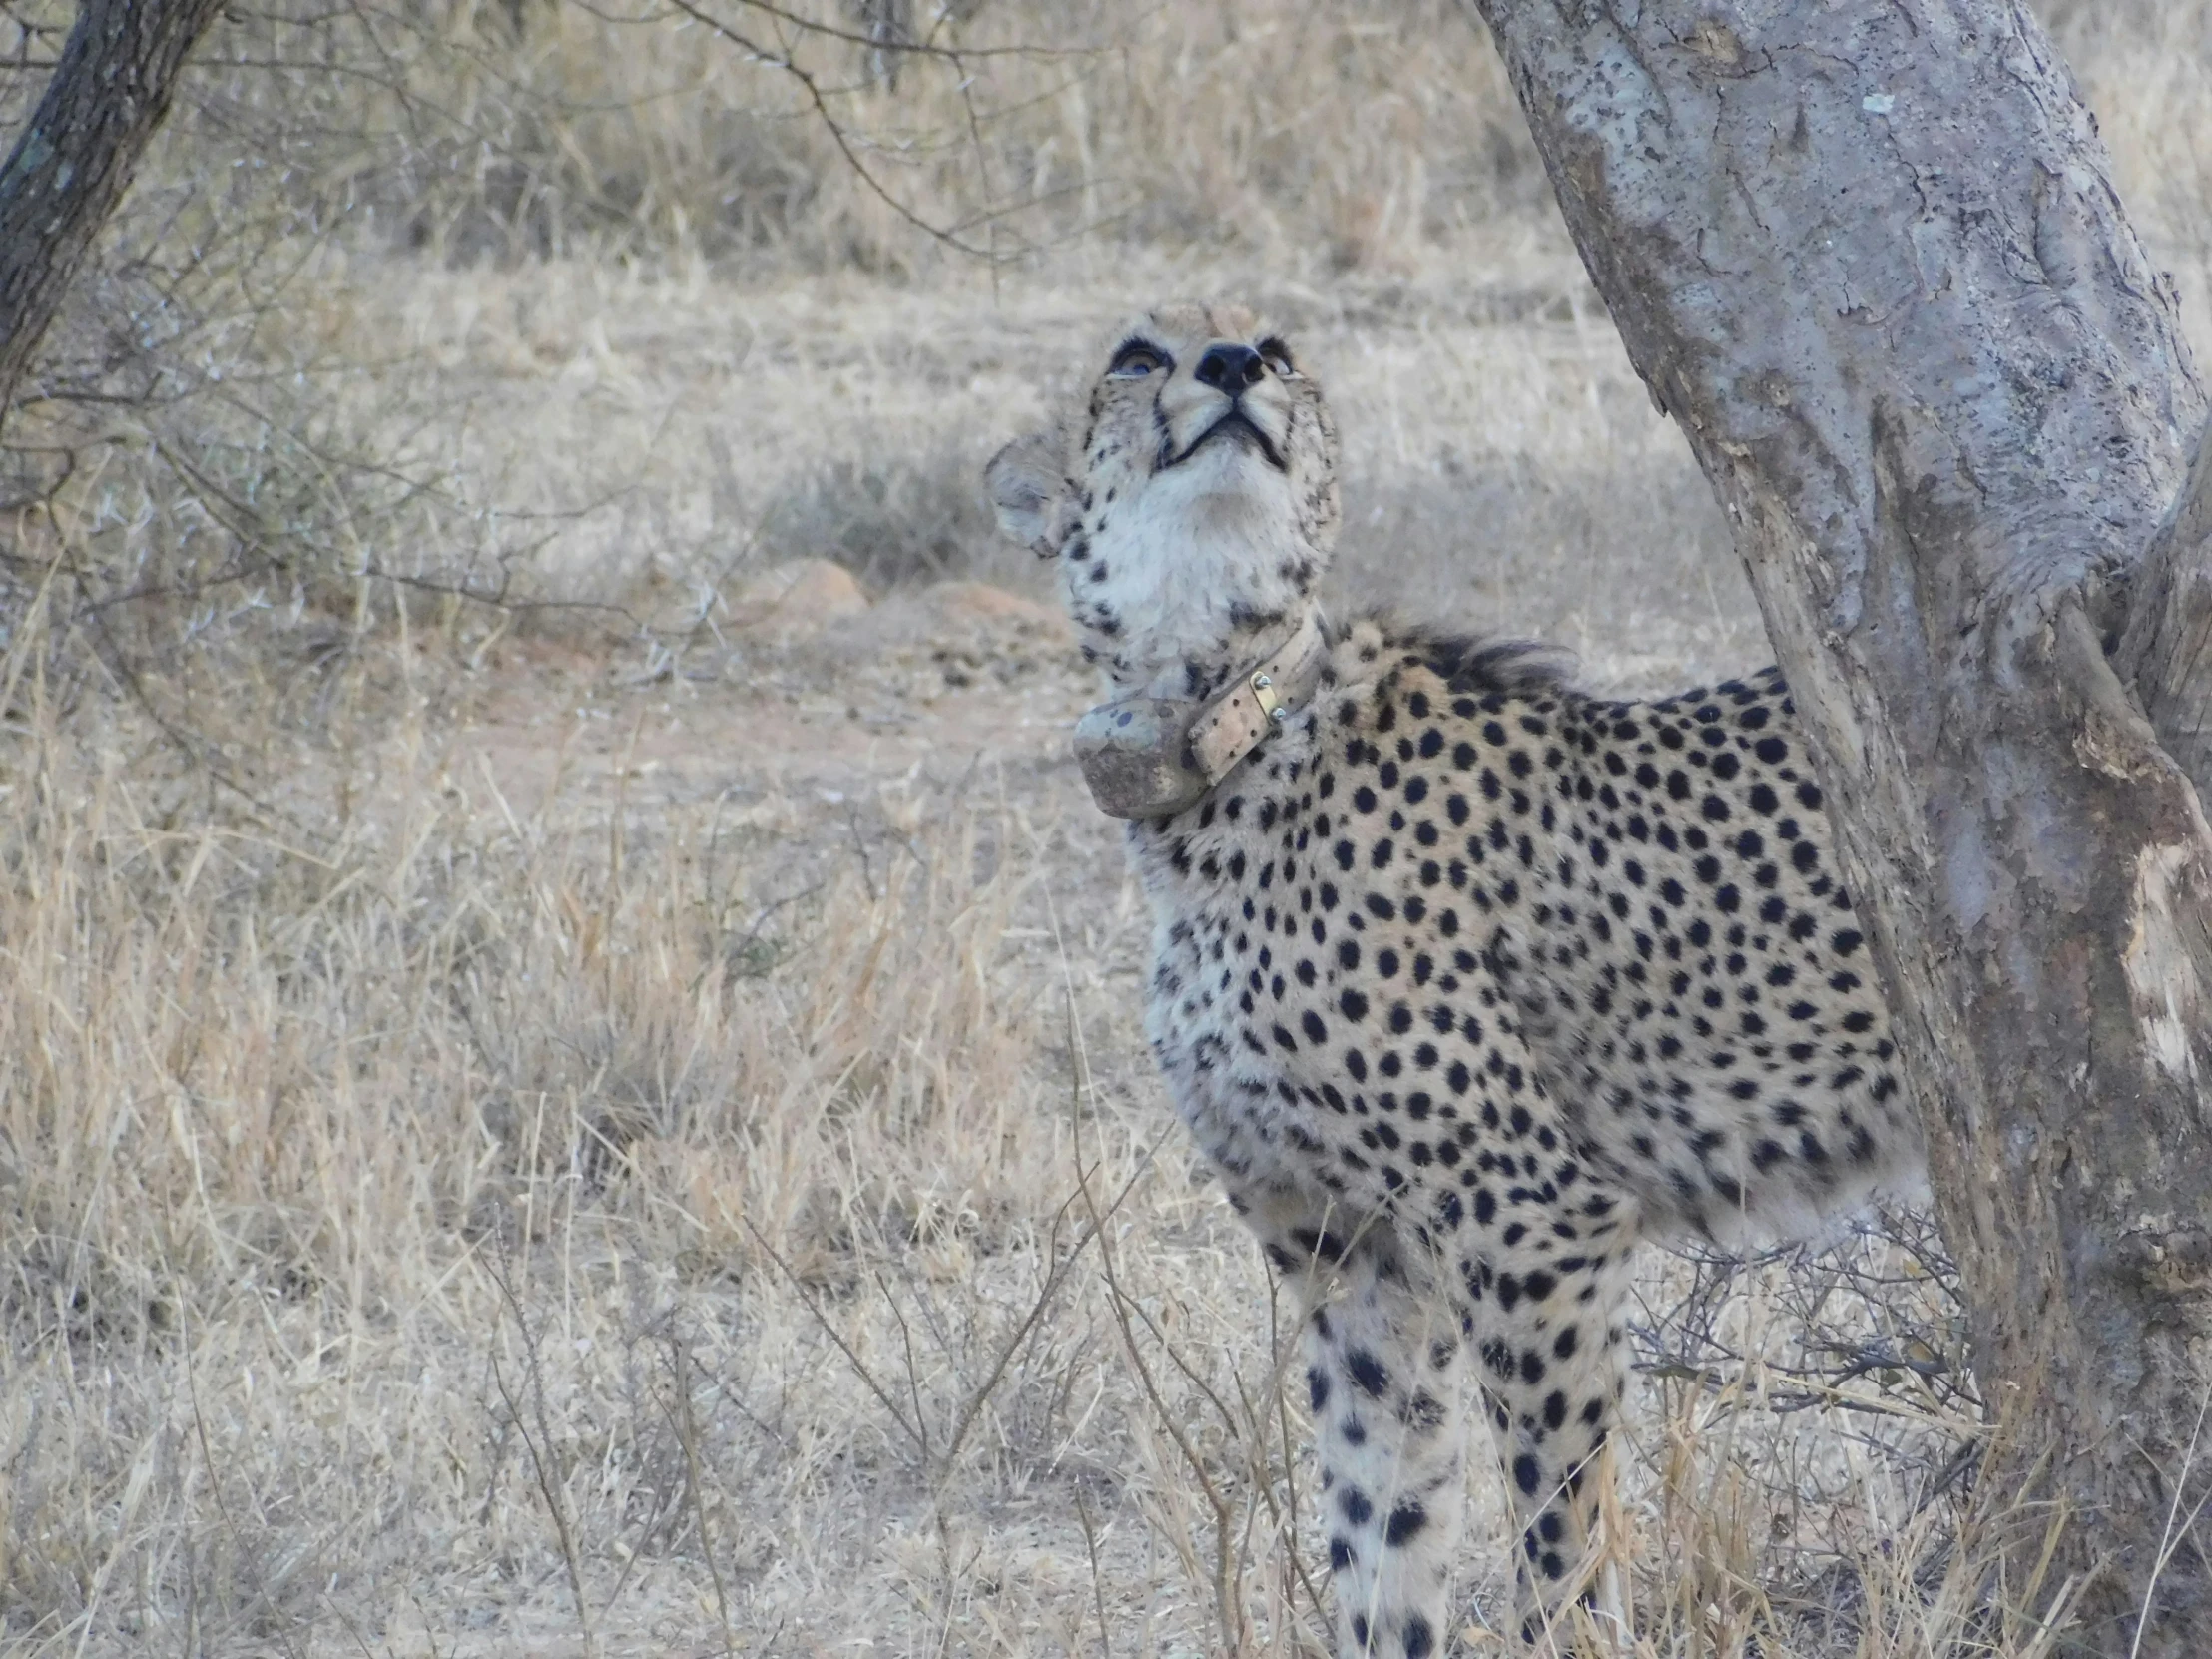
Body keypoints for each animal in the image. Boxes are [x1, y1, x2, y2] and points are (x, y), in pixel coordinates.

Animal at [995, 304, 1929, 1654]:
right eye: (1134, 357)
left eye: (1277, 350)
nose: (1230, 366)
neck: (1223, 737)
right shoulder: (1348, 1260)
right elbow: (1378, 1535)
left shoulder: (1533, 1219)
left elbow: (1557, 1529)